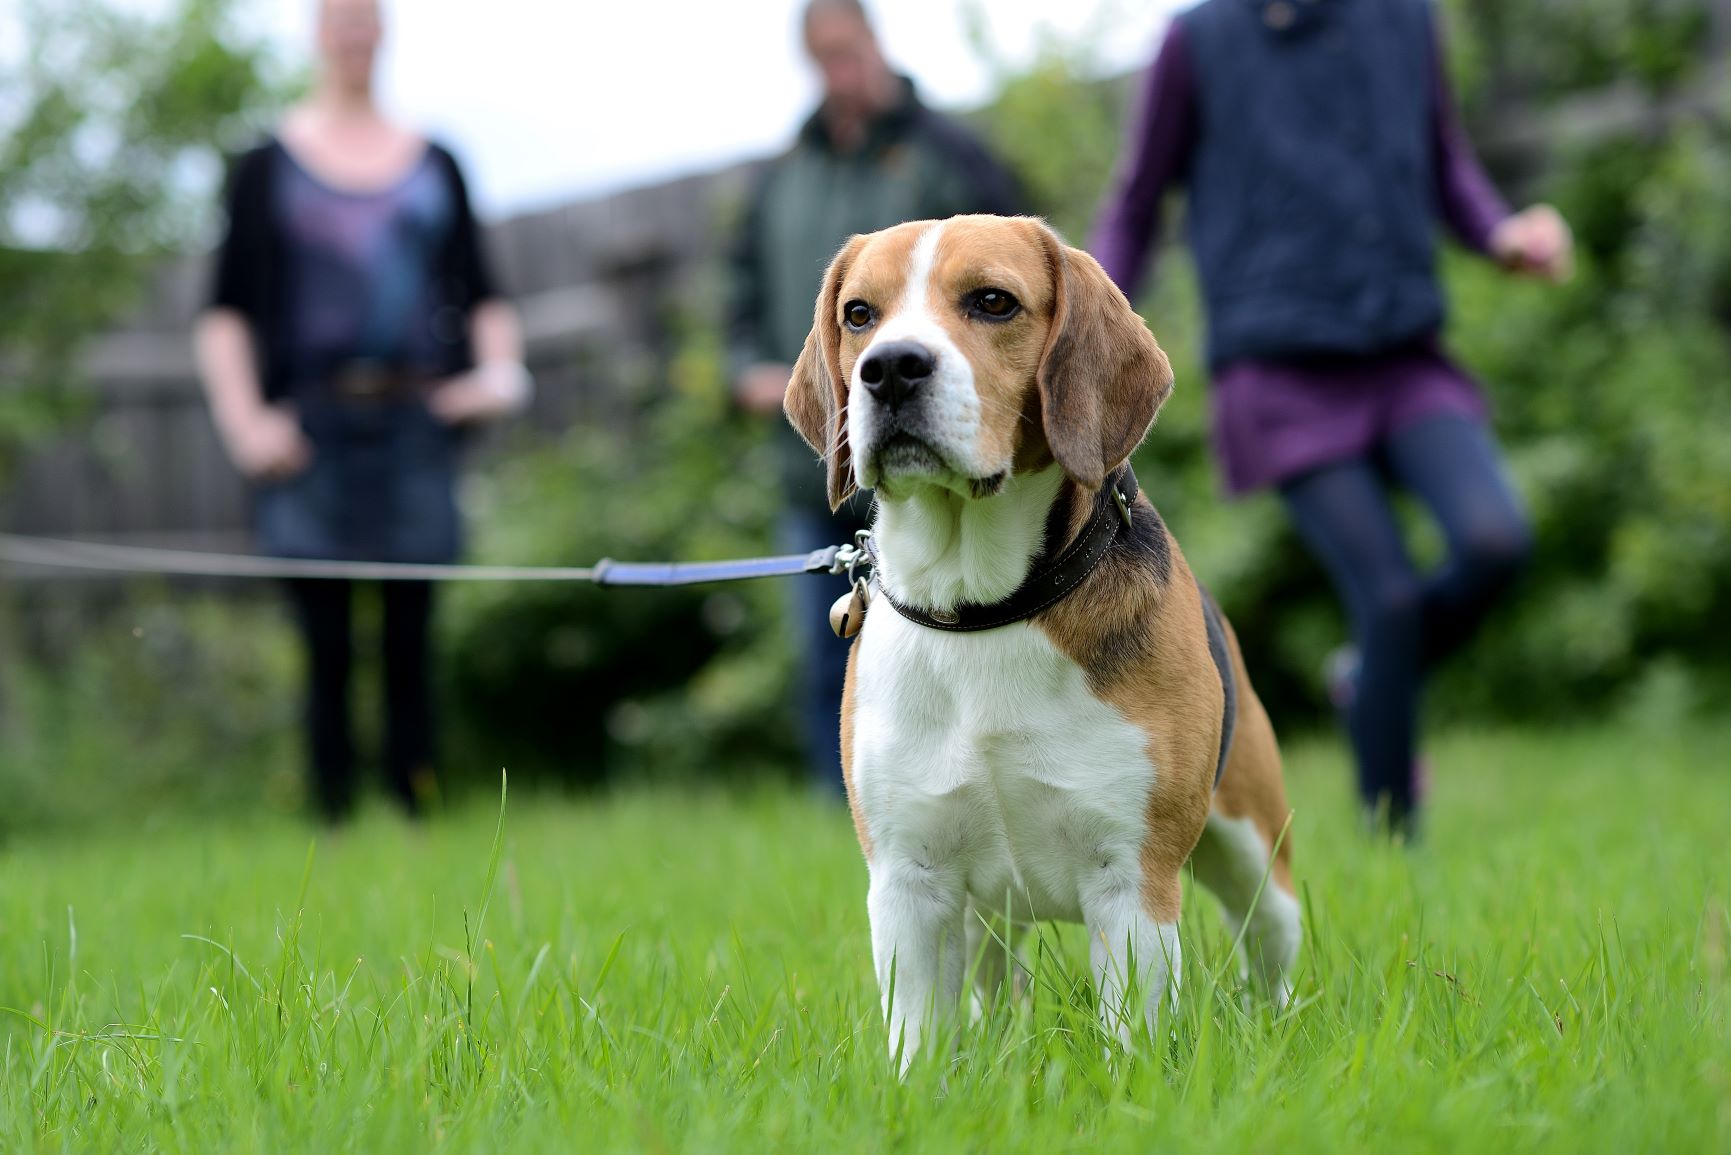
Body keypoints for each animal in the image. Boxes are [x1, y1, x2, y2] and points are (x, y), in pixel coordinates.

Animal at [785, 214, 1301, 1066]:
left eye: (992, 301)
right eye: (858, 314)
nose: (887, 369)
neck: (984, 608)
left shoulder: (1130, 879)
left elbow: (1131, 1038)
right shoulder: (909, 881)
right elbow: (917, 1043)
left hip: (1255, 853)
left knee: (1269, 948)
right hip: (982, 919)